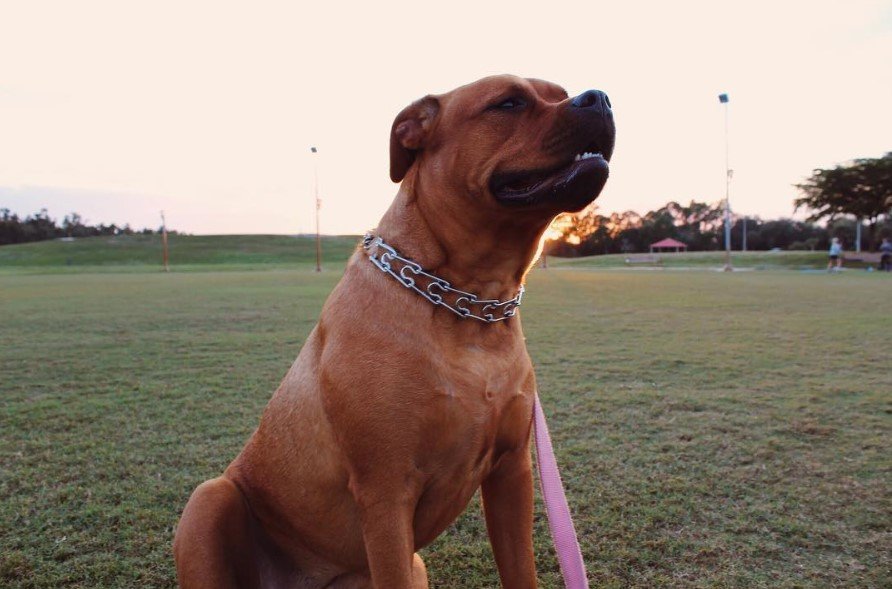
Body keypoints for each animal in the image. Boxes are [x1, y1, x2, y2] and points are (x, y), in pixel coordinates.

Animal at [173, 74, 612, 588]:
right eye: (508, 102)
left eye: (559, 92)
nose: (600, 98)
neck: (467, 303)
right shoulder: (385, 490)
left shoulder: (512, 473)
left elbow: (520, 569)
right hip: (210, 498)